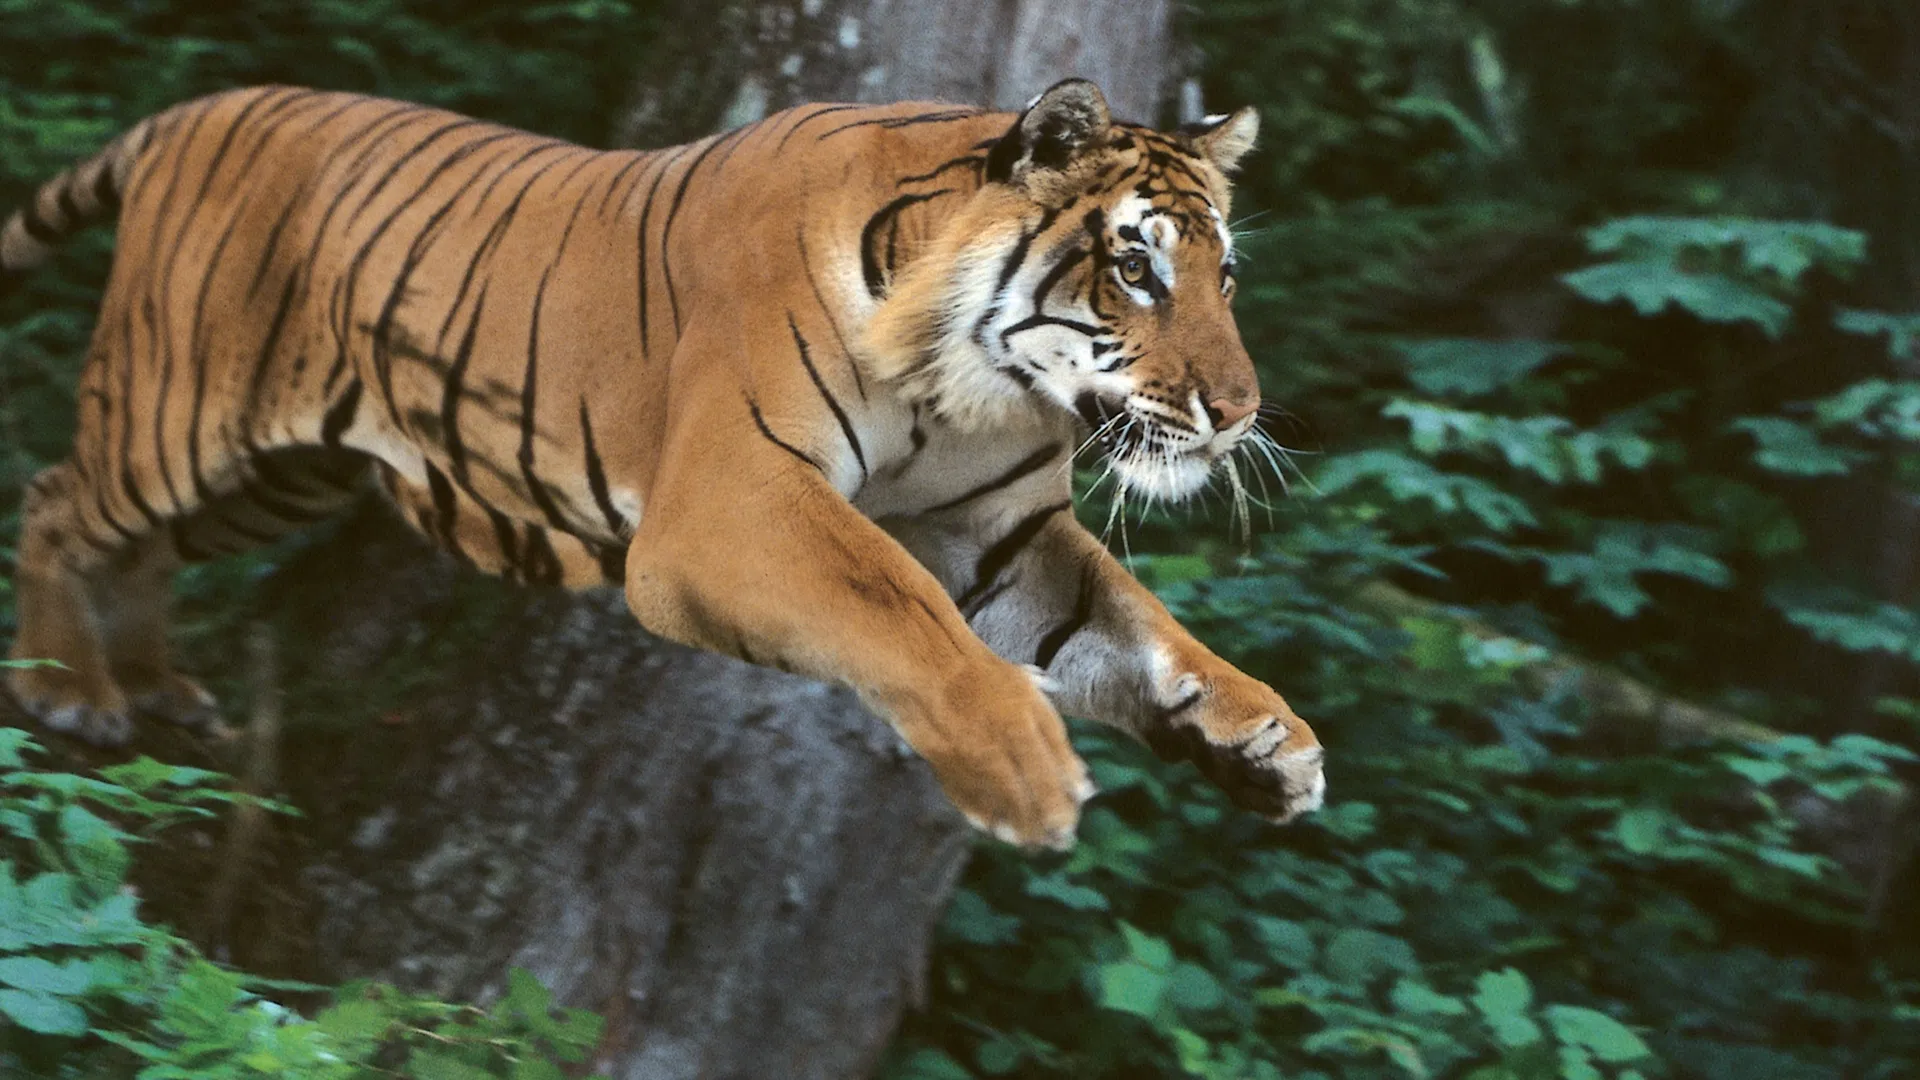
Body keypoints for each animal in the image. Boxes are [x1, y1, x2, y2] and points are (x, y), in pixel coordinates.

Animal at [0, 78, 1324, 848]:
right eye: (1137, 267)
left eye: (1225, 274)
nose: (1236, 414)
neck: (964, 389)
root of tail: (195, 110)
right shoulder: (728, 506)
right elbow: (897, 610)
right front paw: (1027, 772)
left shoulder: (995, 534)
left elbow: (1132, 627)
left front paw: (1264, 742)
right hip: (178, 415)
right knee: (58, 499)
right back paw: (72, 689)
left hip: (280, 469)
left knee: (144, 547)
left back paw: (157, 686)